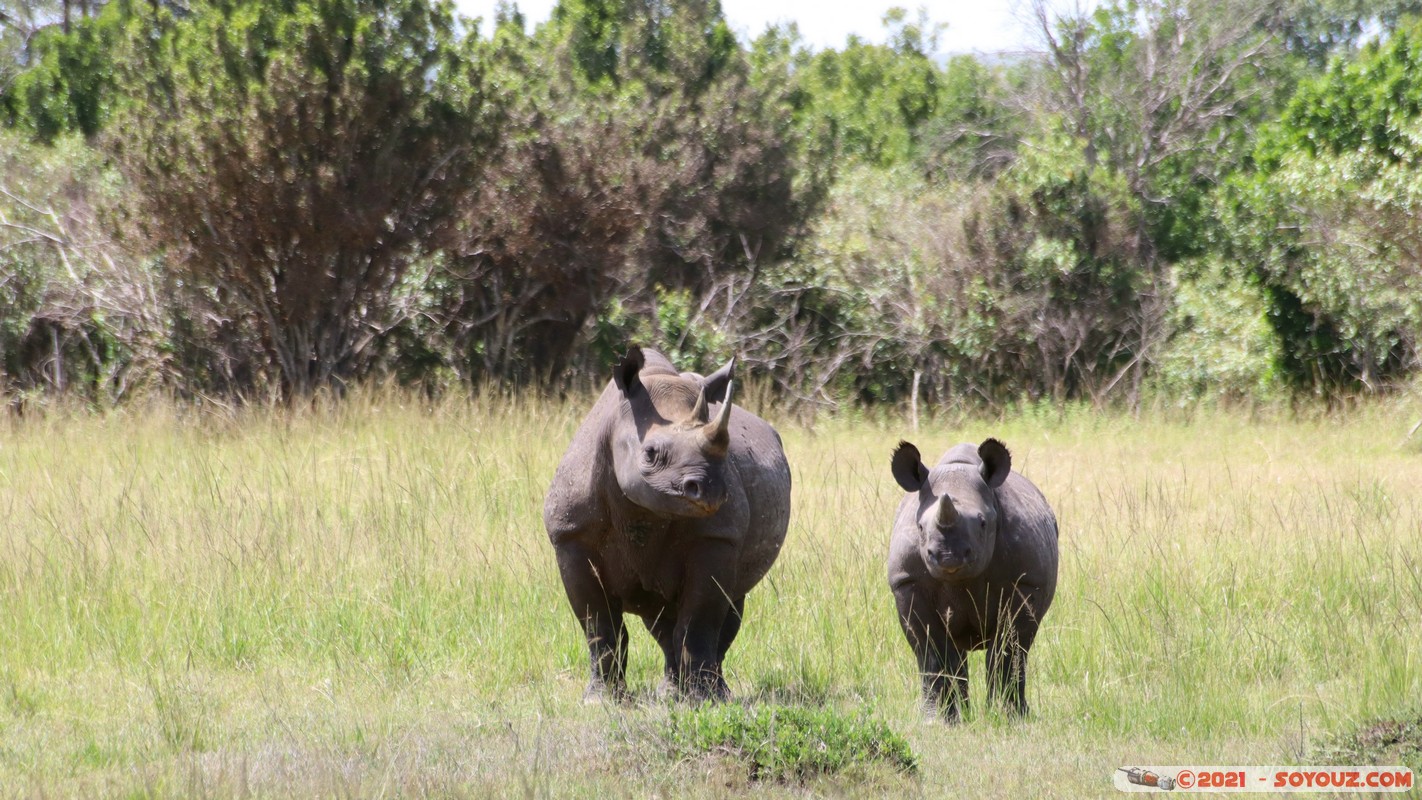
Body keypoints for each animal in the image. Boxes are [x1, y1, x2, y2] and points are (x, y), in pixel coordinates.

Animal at [544, 346, 790, 701]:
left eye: (725, 450)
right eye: (649, 453)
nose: (710, 490)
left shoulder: (717, 537)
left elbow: (699, 621)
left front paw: (703, 701)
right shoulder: (571, 536)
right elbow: (598, 625)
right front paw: (601, 699)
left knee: (727, 606)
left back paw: (711, 693)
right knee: (659, 617)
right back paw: (670, 693)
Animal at [887, 438, 1058, 721]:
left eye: (983, 523)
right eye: (920, 527)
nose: (947, 556)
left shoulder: (1026, 581)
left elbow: (1008, 651)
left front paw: (1008, 717)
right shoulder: (907, 582)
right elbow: (931, 653)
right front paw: (937, 721)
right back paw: (961, 716)